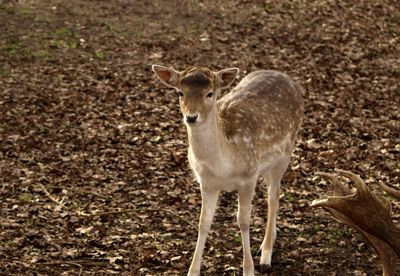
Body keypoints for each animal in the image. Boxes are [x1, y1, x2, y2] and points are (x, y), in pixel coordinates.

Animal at [152, 63, 302, 274]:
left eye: (210, 93)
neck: (222, 166)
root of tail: (290, 79)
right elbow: (203, 222)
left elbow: (243, 221)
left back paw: (266, 255)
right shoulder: (207, 182)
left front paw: (248, 270)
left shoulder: (248, 176)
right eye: (180, 92)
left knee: (273, 197)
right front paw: (192, 271)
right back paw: (270, 239)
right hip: (267, 165)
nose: (191, 117)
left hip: (285, 153)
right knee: (274, 194)